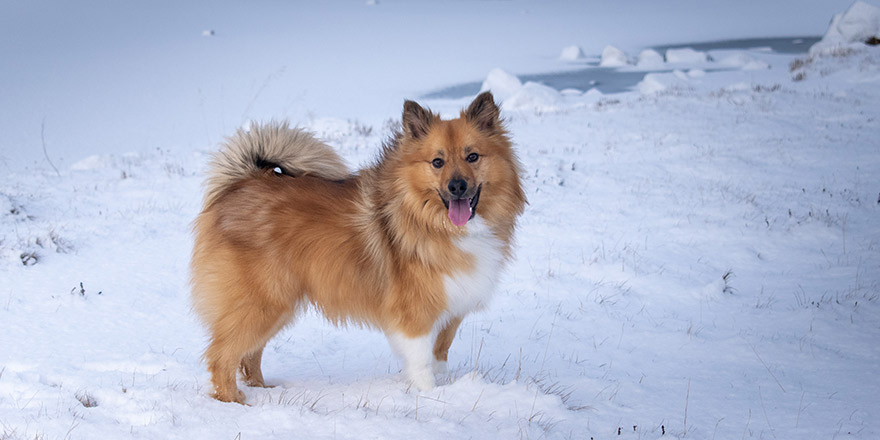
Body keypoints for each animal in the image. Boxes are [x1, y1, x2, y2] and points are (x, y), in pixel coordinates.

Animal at [191, 92, 524, 402]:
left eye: (473, 157)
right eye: (437, 162)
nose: (457, 186)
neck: (431, 219)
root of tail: (240, 183)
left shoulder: (452, 307)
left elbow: (440, 353)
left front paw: (446, 387)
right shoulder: (414, 314)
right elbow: (422, 363)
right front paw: (430, 397)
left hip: (276, 305)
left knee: (249, 355)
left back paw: (264, 390)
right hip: (262, 302)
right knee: (222, 356)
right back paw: (236, 401)